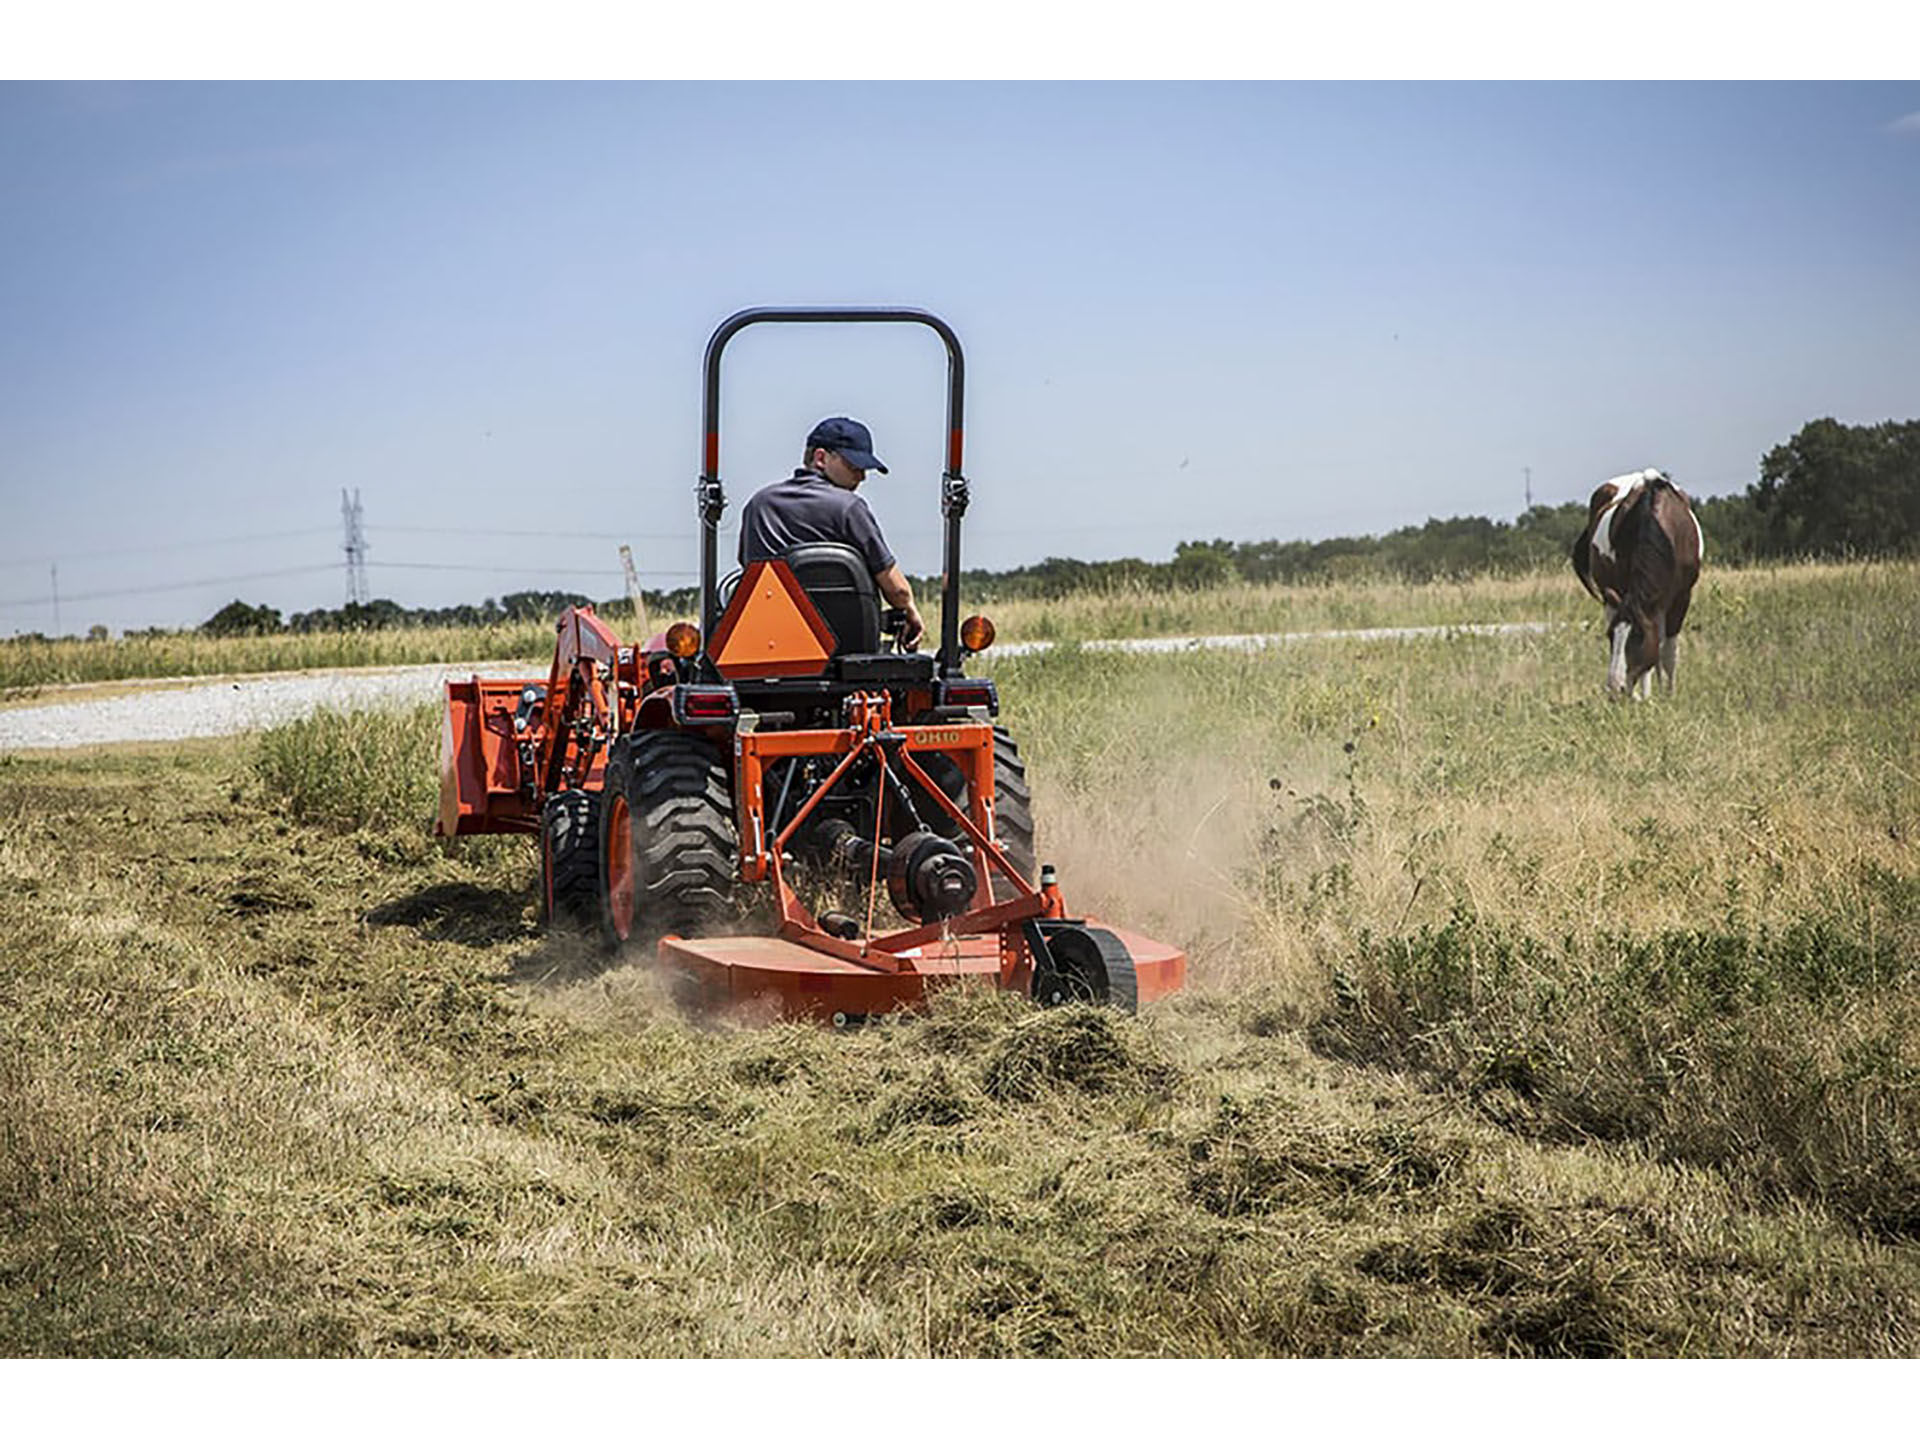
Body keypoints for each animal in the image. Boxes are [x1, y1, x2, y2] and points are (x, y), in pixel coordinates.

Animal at [1574, 470, 1712, 702]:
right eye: (1610, 635)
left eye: (1639, 636)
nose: (1615, 688)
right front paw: (1643, 696)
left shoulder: (1681, 597)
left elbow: (1667, 651)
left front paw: (1669, 694)